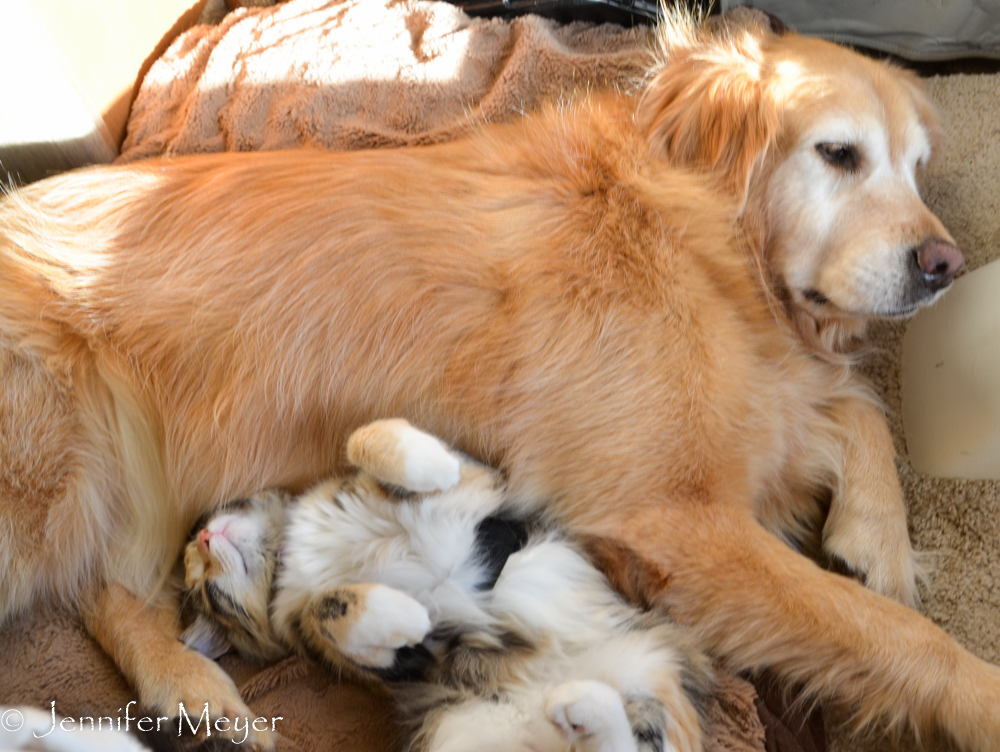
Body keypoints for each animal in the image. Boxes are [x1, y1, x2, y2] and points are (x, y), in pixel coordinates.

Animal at [180, 420, 712, 748]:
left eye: (202, 576)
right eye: (210, 594)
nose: (204, 537)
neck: (299, 553)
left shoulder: (486, 486)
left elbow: (368, 436)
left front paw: (430, 466)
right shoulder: (407, 663)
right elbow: (327, 606)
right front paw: (410, 613)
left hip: (646, 670)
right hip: (454, 727)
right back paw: (578, 707)